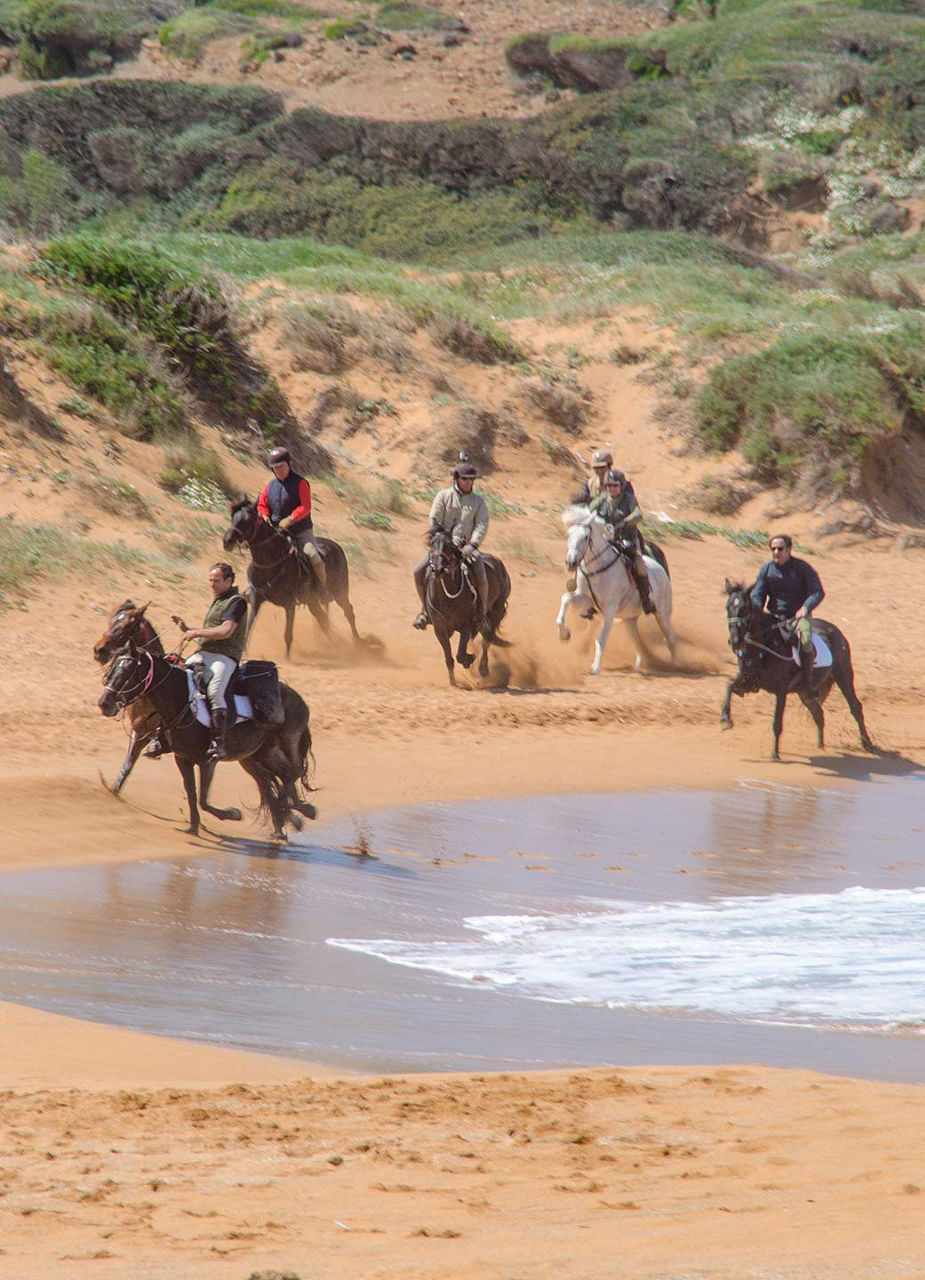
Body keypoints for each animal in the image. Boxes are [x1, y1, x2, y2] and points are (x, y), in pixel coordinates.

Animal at [97, 650, 314, 839]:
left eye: (129, 672)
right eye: (113, 667)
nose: (104, 703)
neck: (182, 700)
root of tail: (299, 699)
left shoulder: (207, 760)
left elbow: (202, 799)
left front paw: (233, 814)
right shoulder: (181, 757)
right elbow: (192, 793)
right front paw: (193, 827)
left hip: (285, 743)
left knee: (292, 773)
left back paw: (295, 813)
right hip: (256, 755)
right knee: (274, 780)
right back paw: (284, 823)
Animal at [222, 496, 363, 660]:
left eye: (247, 521)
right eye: (232, 517)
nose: (227, 541)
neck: (271, 562)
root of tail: (337, 547)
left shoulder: (289, 605)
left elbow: (288, 634)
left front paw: (287, 659)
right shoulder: (256, 598)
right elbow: (249, 626)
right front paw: (244, 652)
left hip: (340, 592)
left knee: (348, 612)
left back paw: (357, 643)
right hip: (312, 601)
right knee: (322, 618)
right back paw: (333, 646)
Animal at [419, 527, 514, 686]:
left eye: (450, 545)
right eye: (432, 543)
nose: (438, 569)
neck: (446, 599)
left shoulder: (465, 626)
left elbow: (460, 654)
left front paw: (469, 660)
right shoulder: (439, 630)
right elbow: (449, 658)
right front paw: (453, 682)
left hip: (496, 611)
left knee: (487, 640)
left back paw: (483, 669)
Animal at [557, 504, 680, 675]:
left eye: (586, 537)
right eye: (568, 534)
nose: (571, 563)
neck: (598, 568)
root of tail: (661, 570)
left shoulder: (609, 609)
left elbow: (601, 640)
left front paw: (595, 668)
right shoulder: (586, 599)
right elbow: (566, 599)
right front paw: (564, 634)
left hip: (662, 614)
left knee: (671, 638)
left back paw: (673, 665)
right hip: (630, 620)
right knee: (638, 642)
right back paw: (641, 664)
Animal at [721, 581, 875, 757]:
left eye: (744, 609)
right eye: (727, 607)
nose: (735, 641)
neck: (763, 648)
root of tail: (837, 632)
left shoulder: (781, 691)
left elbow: (777, 722)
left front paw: (775, 754)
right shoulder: (746, 681)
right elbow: (729, 686)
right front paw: (725, 720)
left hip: (844, 675)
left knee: (855, 707)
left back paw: (867, 744)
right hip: (805, 694)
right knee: (818, 713)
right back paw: (820, 746)